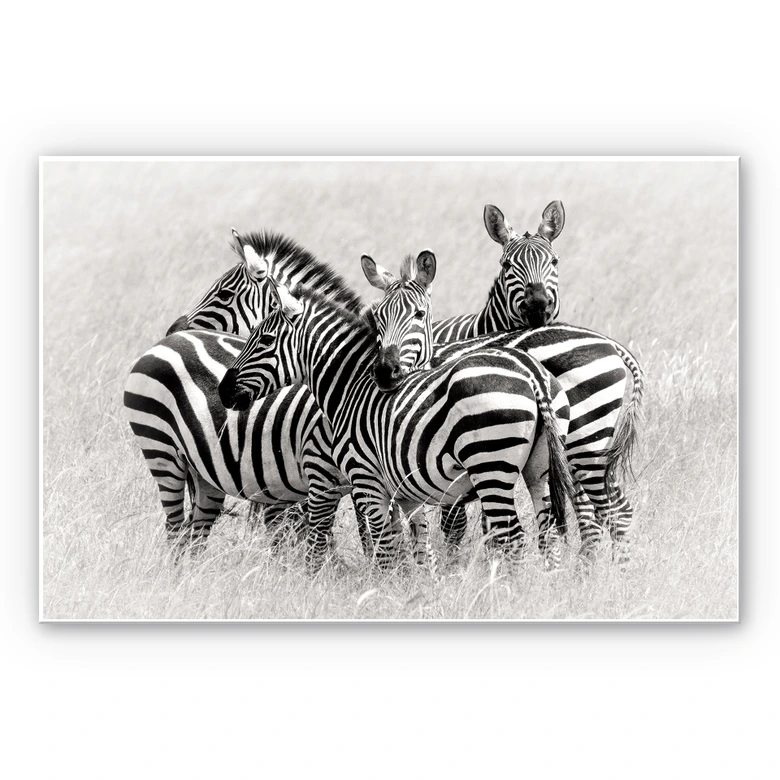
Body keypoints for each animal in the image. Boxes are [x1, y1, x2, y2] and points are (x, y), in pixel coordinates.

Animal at [218, 279, 577, 569]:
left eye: (265, 340)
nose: (222, 391)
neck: (350, 387)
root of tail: (532, 374)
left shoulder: (366, 480)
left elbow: (384, 548)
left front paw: (383, 593)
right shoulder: (404, 492)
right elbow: (416, 547)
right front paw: (417, 592)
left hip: (490, 464)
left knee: (512, 537)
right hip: (539, 469)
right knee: (547, 533)